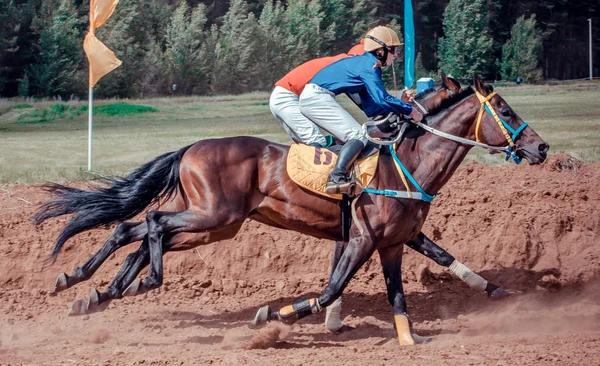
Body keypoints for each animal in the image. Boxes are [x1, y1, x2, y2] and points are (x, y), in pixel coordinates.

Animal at [34, 75, 548, 346]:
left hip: (210, 225)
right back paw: (134, 283)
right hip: (213, 217)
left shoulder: (394, 241)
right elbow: (332, 286)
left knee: (131, 229)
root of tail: (189, 148)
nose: (541, 147)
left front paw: (490, 295)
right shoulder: (363, 238)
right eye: (504, 108)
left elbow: (423, 273)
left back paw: (93, 287)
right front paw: (277, 316)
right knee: (150, 225)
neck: (406, 162)